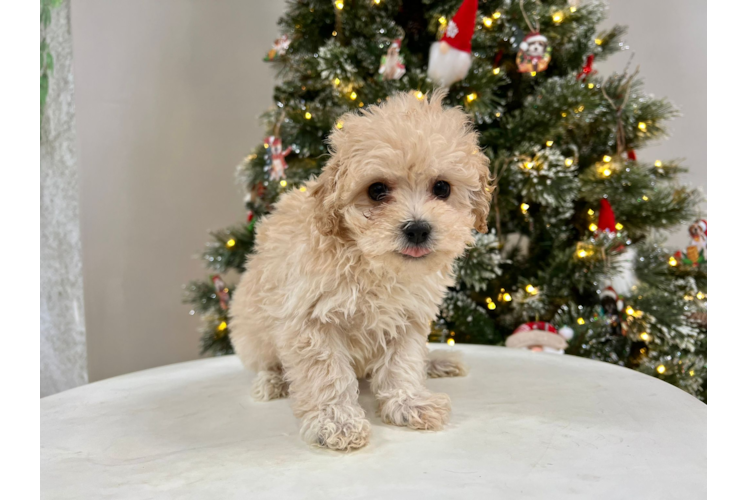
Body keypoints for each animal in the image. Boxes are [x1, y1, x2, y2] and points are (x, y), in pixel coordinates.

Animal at [231, 91, 494, 450]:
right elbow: (325, 374)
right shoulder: (311, 320)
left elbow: (402, 364)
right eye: (377, 190)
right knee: (266, 360)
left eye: (442, 188)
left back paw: (437, 362)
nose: (417, 229)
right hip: (250, 331)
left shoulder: (408, 317)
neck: (371, 262)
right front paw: (335, 421)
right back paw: (273, 381)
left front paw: (409, 403)